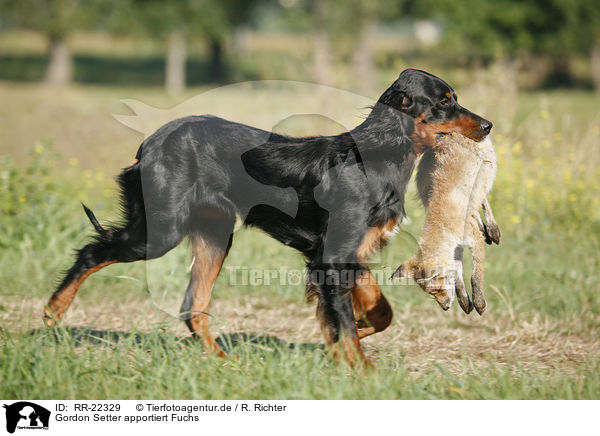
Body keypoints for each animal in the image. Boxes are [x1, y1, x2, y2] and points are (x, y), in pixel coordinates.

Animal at [43, 70, 492, 366]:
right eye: (445, 101)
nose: (488, 125)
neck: (378, 154)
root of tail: (152, 141)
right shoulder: (332, 256)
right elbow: (348, 324)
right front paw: (360, 369)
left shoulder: (349, 252)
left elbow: (378, 312)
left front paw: (343, 338)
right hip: (161, 231)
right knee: (91, 253)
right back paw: (52, 313)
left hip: (215, 234)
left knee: (193, 307)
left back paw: (224, 361)